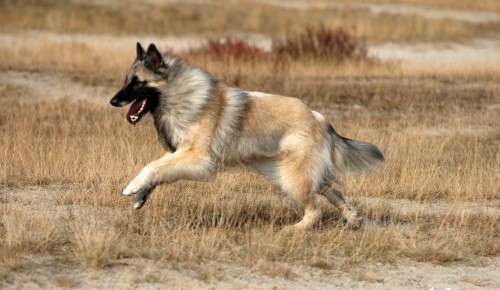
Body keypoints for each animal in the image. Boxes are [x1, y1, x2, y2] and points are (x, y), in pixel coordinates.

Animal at [109, 42, 382, 230]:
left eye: (138, 82)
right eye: (126, 80)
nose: (113, 101)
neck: (179, 94)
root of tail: (319, 118)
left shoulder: (197, 158)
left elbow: (151, 166)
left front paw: (132, 187)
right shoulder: (177, 153)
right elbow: (156, 169)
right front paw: (141, 196)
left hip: (292, 178)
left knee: (316, 210)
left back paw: (293, 230)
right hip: (289, 172)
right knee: (334, 192)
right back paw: (353, 220)